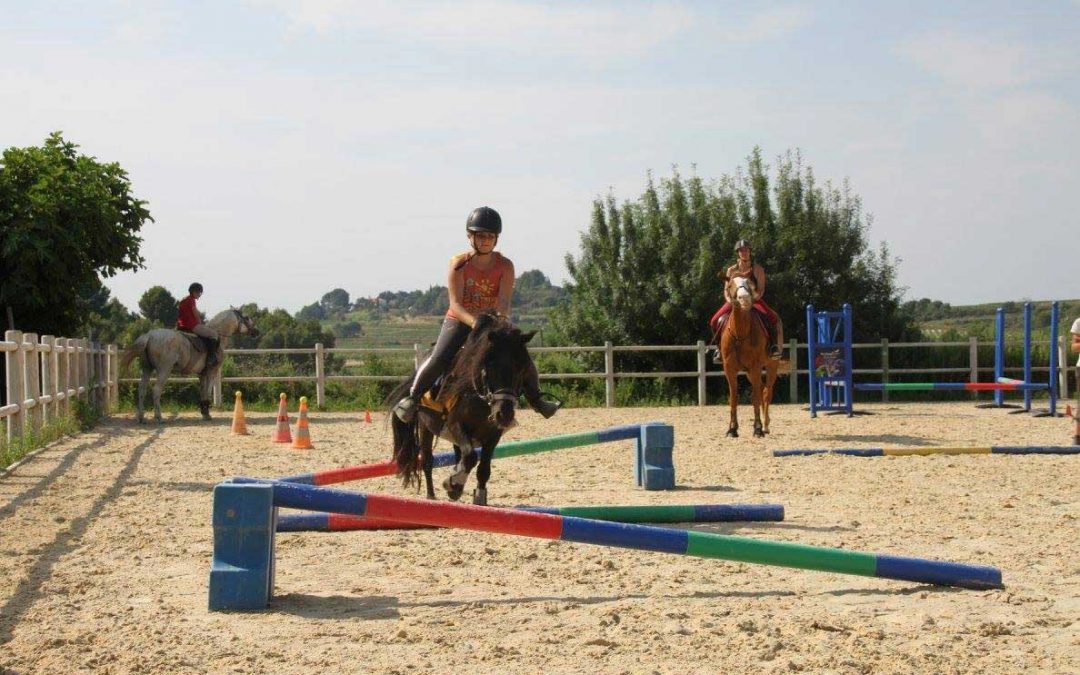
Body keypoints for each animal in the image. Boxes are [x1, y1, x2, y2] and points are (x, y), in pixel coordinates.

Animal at [118, 308, 259, 421]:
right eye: (246, 317)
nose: (256, 331)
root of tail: (150, 335)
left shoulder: (202, 375)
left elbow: (203, 391)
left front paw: (203, 412)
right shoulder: (211, 372)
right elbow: (207, 392)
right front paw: (207, 414)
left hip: (147, 369)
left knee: (142, 389)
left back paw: (141, 417)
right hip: (164, 370)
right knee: (156, 390)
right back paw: (159, 417)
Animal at [717, 274, 777, 436]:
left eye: (749, 284)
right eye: (730, 284)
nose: (744, 298)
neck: (740, 333)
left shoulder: (755, 366)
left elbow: (755, 397)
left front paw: (757, 428)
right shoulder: (729, 369)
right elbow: (733, 397)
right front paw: (732, 428)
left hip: (771, 366)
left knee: (766, 392)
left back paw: (766, 425)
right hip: (749, 372)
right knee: (761, 389)